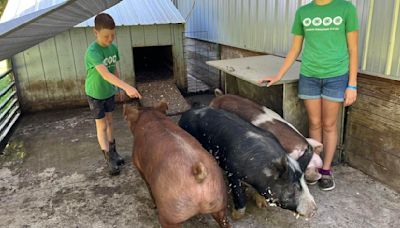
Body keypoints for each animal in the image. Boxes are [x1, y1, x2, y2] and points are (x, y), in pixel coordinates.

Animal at [180, 106, 318, 220]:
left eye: (304, 182)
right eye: (292, 188)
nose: (315, 210)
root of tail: (185, 114)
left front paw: (262, 205)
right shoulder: (232, 170)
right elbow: (238, 193)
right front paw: (236, 216)